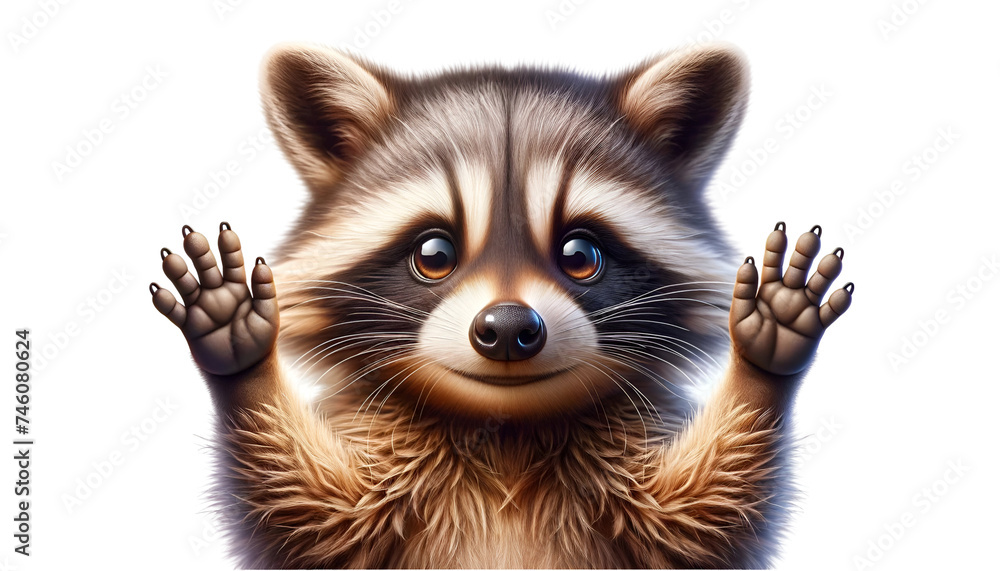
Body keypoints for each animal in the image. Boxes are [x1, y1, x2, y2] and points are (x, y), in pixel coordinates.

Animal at [150, 43, 853, 568]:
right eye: (434, 253)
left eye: (580, 253)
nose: (510, 328)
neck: (506, 436)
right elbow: (307, 511)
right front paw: (242, 358)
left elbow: (701, 514)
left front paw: (763, 360)